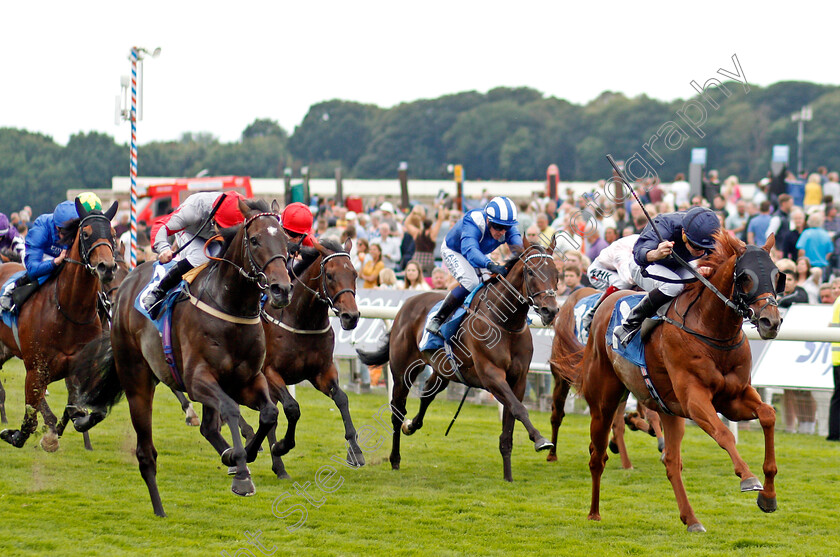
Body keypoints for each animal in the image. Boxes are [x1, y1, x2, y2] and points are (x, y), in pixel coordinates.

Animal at [0, 198, 118, 450]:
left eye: (113, 234)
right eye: (85, 233)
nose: (107, 267)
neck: (69, 310)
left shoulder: (83, 366)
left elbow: (92, 410)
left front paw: (72, 423)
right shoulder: (36, 368)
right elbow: (29, 420)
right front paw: (15, 434)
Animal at [77, 198, 292, 516]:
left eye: (287, 242)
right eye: (254, 240)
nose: (282, 289)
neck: (231, 306)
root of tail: (128, 282)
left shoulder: (247, 380)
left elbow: (269, 413)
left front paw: (242, 455)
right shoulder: (196, 380)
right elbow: (231, 410)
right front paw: (241, 475)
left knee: (208, 427)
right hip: (137, 379)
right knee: (146, 451)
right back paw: (159, 508)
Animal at [260, 237, 362, 476]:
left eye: (354, 274)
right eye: (330, 275)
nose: (351, 316)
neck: (301, 319)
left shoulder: (321, 372)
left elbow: (342, 398)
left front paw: (355, 450)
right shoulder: (270, 372)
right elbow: (292, 408)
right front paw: (282, 446)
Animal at [358, 239, 560, 482]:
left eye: (557, 274)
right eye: (530, 272)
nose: (551, 311)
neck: (505, 323)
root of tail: (406, 305)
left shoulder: (518, 380)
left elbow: (510, 421)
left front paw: (508, 477)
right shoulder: (491, 375)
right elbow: (519, 409)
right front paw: (540, 440)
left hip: (442, 369)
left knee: (427, 394)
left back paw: (412, 425)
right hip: (402, 371)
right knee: (397, 412)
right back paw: (395, 458)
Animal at [568, 232, 784, 532]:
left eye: (777, 276)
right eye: (746, 277)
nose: (770, 322)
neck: (711, 329)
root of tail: (605, 304)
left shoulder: (734, 397)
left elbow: (768, 415)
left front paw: (769, 496)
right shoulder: (694, 399)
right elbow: (724, 434)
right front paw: (748, 478)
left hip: (669, 409)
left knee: (671, 462)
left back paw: (691, 520)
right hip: (603, 401)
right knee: (597, 456)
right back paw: (594, 512)